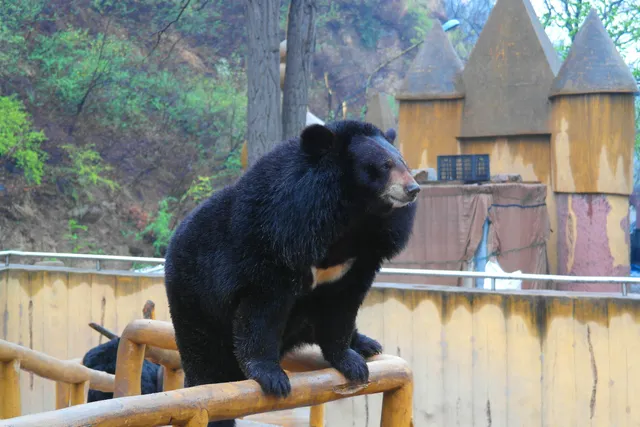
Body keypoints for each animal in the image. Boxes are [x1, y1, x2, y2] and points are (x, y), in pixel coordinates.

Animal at [164, 120, 419, 426]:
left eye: (404, 162)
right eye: (384, 165)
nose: (413, 188)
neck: (350, 219)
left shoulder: (362, 257)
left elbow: (343, 306)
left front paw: (351, 362)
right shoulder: (274, 241)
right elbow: (262, 311)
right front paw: (273, 378)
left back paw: (367, 343)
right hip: (195, 300)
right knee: (206, 360)